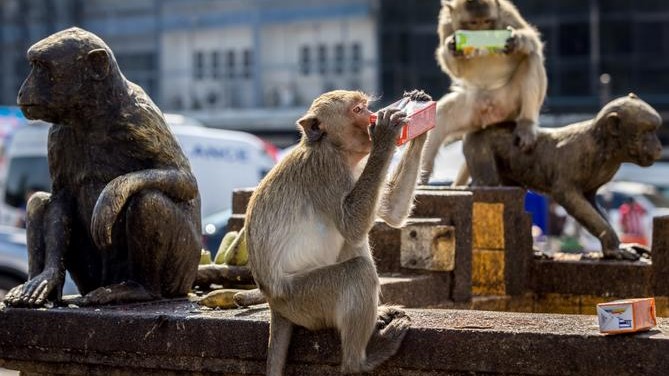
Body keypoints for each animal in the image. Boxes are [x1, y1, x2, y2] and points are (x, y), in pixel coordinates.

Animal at [422, 0, 544, 184]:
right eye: (474, 23)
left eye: (486, 22)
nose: (482, 33)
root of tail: (492, 115)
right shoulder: (445, 23)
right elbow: (455, 68)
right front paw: (452, 47)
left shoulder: (507, 13)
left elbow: (533, 41)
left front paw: (515, 40)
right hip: (472, 111)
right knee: (439, 118)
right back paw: (420, 178)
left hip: (509, 103)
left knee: (530, 57)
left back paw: (526, 125)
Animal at [464, 94, 664, 260]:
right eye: (647, 132)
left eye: (655, 130)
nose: (659, 147)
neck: (605, 146)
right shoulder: (576, 158)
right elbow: (565, 195)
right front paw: (614, 249)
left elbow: (590, 201)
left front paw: (619, 246)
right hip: (479, 146)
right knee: (488, 183)